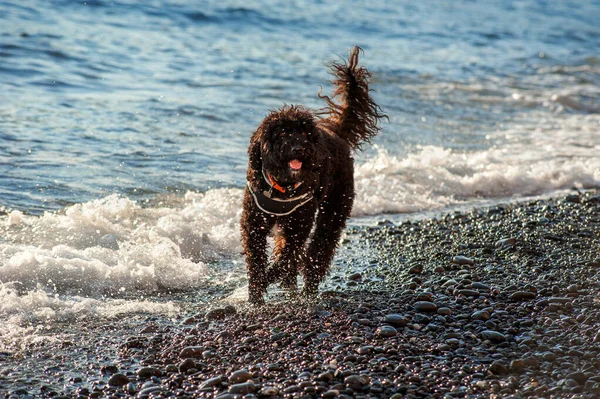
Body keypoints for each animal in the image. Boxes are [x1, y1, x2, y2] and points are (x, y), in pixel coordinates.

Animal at [240, 47, 384, 306]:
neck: (282, 187)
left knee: (319, 249)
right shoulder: (254, 223)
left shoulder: (299, 225)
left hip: (335, 210)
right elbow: (258, 259)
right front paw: (256, 295)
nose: (300, 149)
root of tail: (336, 131)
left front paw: (266, 282)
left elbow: (286, 258)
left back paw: (307, 288)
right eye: (282, 133)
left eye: (305, 133)